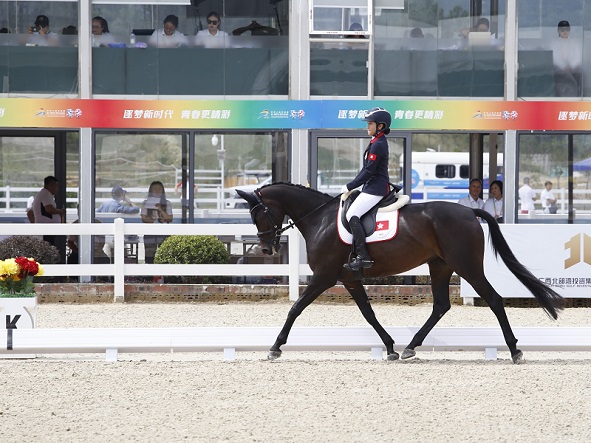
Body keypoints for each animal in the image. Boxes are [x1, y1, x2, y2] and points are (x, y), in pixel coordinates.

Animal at [237, 183, 565, 364]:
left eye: (258, 213)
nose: (266, 248)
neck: (320, 219)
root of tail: (469, 211)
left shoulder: (325, 277)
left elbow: (295, 308)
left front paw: (275, 348)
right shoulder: (349, 278)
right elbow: (368, 314)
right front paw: (390, 347)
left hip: (466, 266)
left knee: (494, 300)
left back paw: (514, 350)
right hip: (440, 265)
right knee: (440, 305)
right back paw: (410, 347)